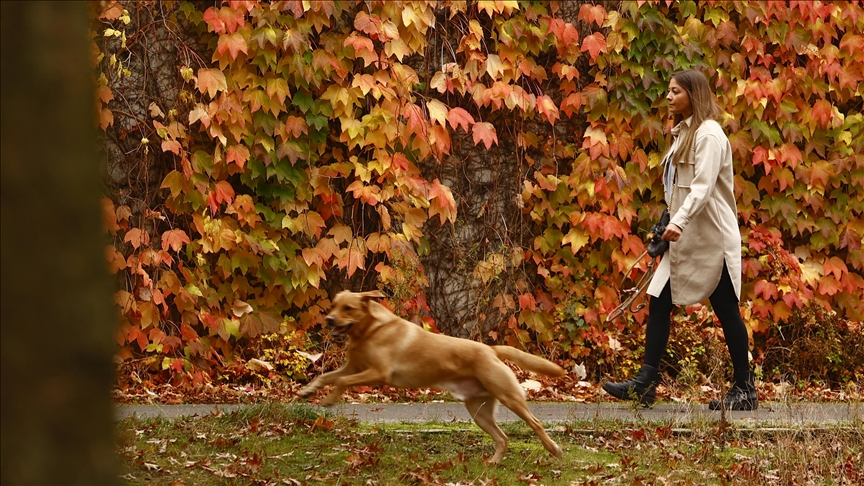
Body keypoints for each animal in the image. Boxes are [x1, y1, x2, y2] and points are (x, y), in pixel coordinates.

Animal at [298, 290, 568, 466]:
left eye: (348, 308)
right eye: (334, 305)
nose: (329, 319)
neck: (369, 330)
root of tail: (491, 350)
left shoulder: (378, 373)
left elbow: (340, 381)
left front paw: (328, 400)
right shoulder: (352, 367)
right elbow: (327, 377)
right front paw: (308, 391)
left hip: (509, 396)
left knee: (535, 423)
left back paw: (553, 449)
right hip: (479, 412)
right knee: (502, 438)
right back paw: (492, 462)